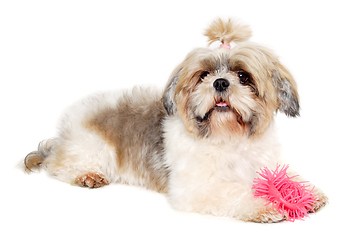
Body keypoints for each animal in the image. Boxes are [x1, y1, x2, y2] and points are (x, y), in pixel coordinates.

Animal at [23, 18, 328, 223]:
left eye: (243, 76)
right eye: (204, 75)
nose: (220, 82)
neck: (229, 137)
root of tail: (62, 134)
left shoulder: (262, 162)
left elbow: (286, 175)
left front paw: (304, 192)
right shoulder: (198, 188)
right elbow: (234, 193)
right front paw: (264, 205)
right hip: (91, 147)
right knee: (59, 166)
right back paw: (87, 176)